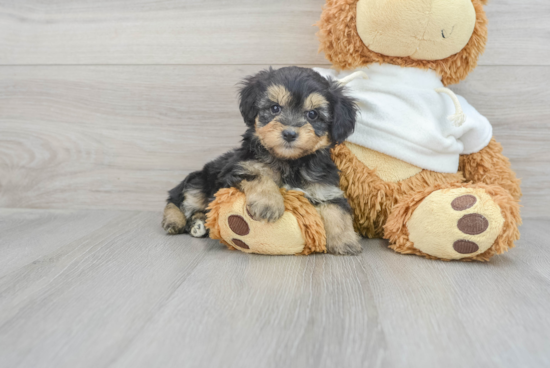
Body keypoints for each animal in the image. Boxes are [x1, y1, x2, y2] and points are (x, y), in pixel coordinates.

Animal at [163, 66, 362, 254]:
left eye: (312, 114)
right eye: (275, 108)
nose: (289, 134)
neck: (290, 162)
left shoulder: (326, 189)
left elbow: (337, 211)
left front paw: (345, 241)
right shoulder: (239, 167)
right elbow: (259, 175)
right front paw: (269, 204)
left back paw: (199, 223)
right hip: (197, 183)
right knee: (176, 200)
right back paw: (174, 221)